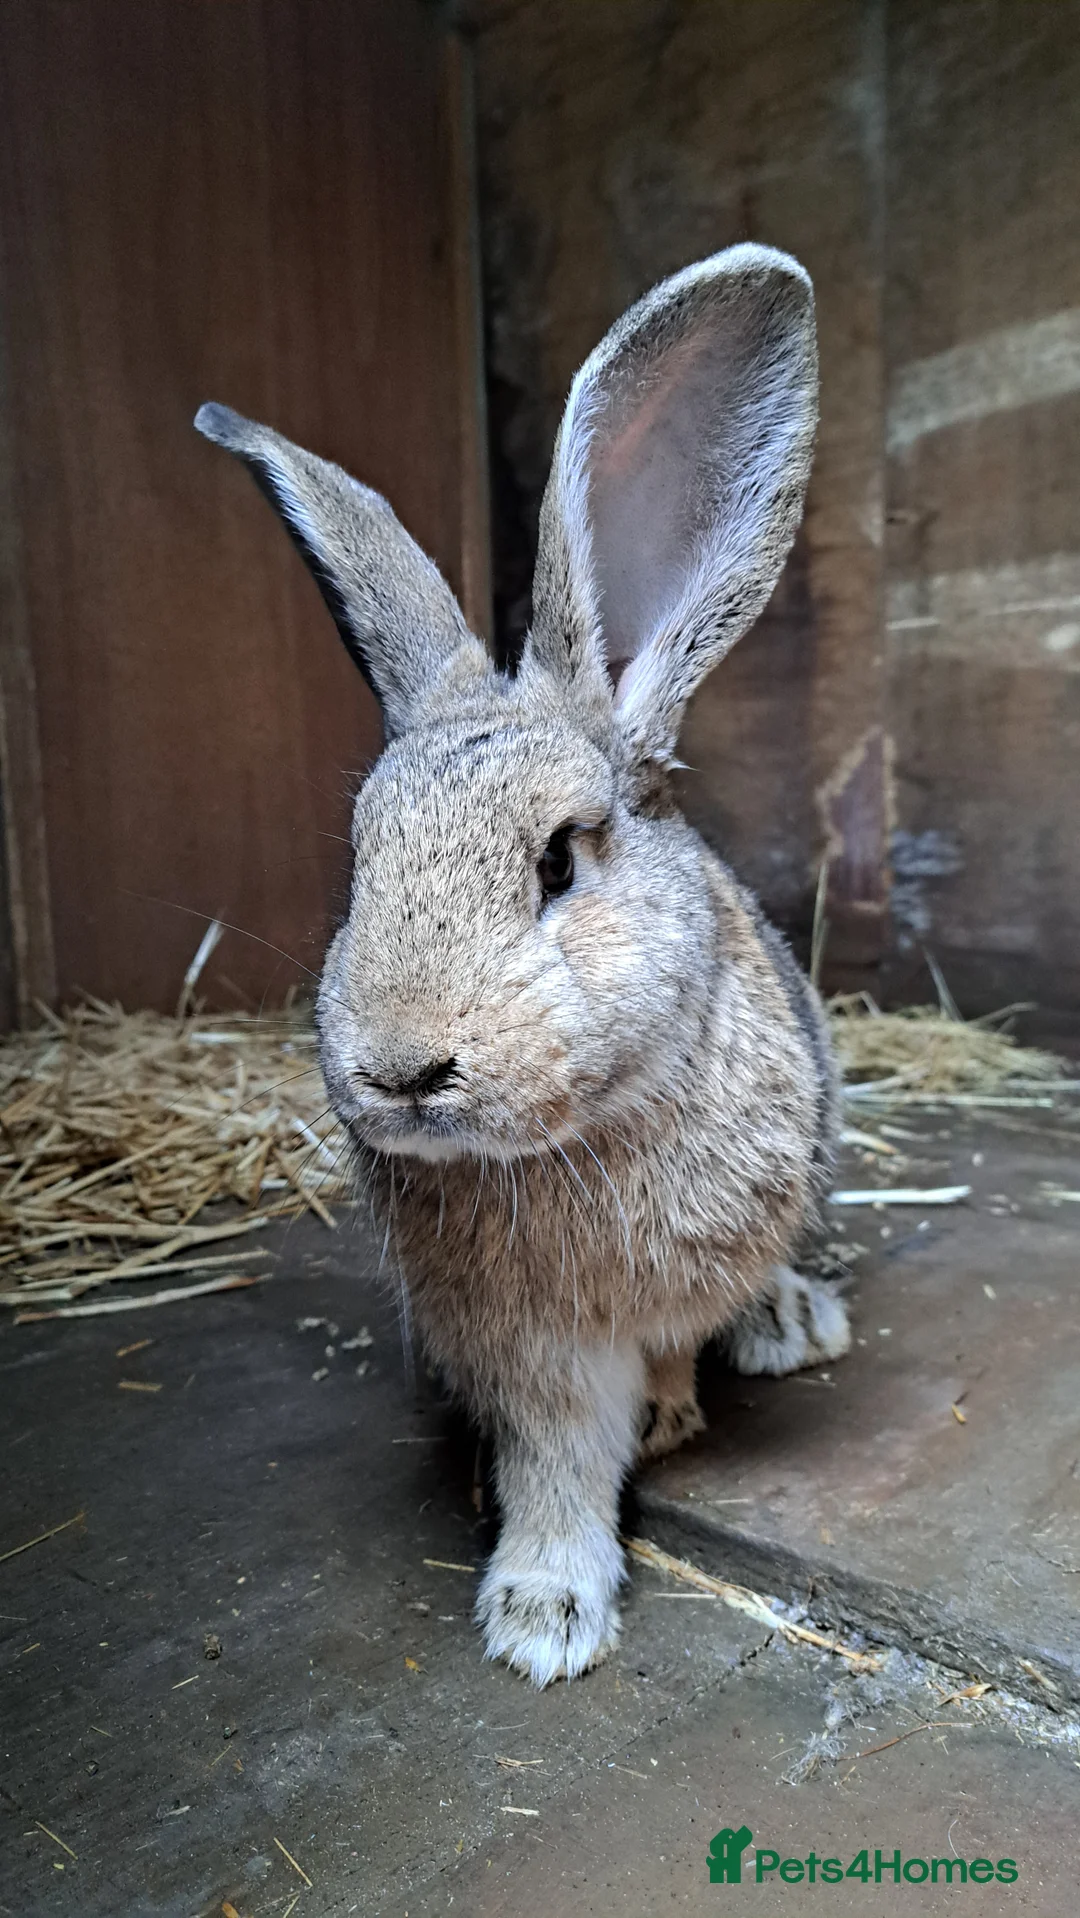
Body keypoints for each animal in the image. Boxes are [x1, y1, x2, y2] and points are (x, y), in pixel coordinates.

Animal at [194, 242, 851, 1689]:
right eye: (362, 860)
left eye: (558, 860)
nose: (400, 1066)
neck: (579, 1142)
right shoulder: (534, 1350)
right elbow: (558, 1457)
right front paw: (544, 1615)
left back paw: (792, 1322)